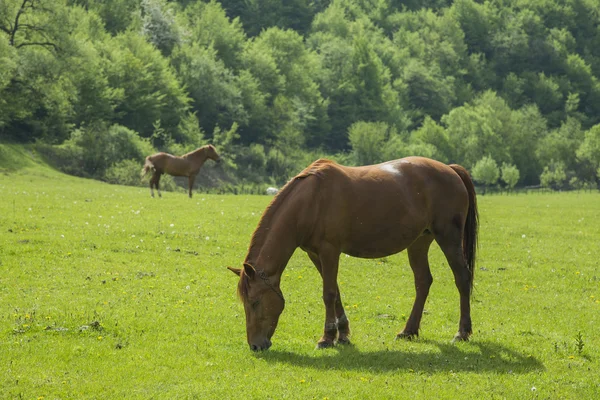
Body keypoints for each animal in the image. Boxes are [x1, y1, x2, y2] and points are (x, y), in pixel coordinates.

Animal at [230, 156, 478, 350]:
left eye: (254, 302)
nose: (255, 345)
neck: (311, 200)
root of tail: (450, 169)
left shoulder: (329, 251)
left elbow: (329, 293)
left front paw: (327, 337)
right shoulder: (315, 254)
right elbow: (336, 292)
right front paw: (343, 334)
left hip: (448, 238)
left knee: (462, 278)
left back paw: (462, 332)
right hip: (419, 242)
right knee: (423, 281)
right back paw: (409, 330)